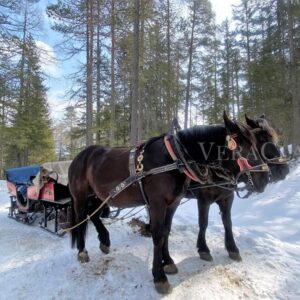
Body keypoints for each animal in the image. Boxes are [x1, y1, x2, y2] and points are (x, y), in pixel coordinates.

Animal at [68, 112, 270, 292]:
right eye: (244, 148)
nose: (265, 178)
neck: (176, 159)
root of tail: (80, 156)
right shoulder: (158, 203)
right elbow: (158, 235)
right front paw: (159, 277)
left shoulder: (173, 203)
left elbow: (166, 231)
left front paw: (169, 262)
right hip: (80, 196)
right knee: (80, 219)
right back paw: (82, 251)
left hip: (97, 196)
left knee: (93, 216)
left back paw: (104, 240)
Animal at [190, 115, 288, 262]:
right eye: (263, 140)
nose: (285, 170)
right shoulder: (203, 199)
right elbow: (203, 222)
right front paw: (203, 249)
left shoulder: (227, 197)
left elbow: (227, 222)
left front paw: (232, 248)